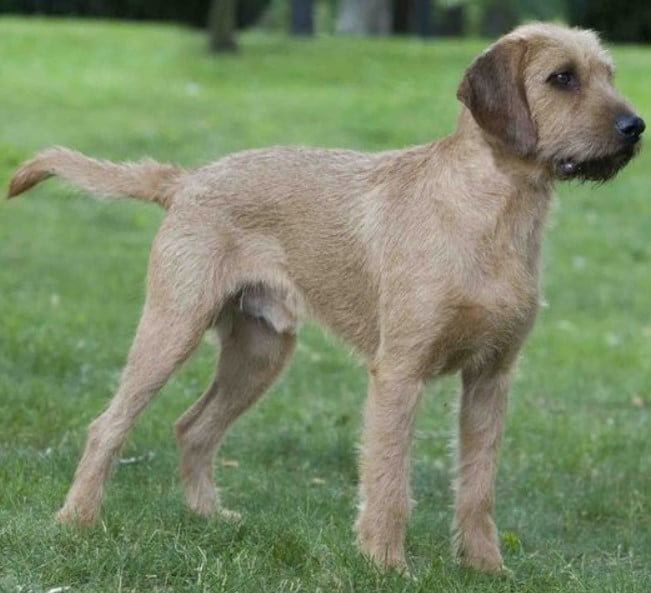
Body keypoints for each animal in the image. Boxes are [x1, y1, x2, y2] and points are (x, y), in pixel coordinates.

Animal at [7, 24, 644, 572]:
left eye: (608, 74)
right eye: (562, 78)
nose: (635, 126)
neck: (492, 213)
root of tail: (185, 182)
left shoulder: (491, 378)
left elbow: (478, 487)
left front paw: (487, 568)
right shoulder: (399, 374)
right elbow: (389, 482)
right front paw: (385, 565)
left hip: (260, 353)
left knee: (194, 427)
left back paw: (209, 516)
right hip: (172, 328)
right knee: (108, 425)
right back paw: (76, 521)